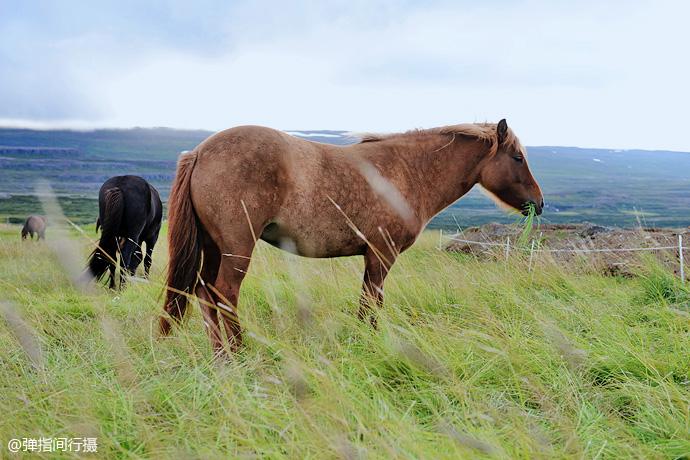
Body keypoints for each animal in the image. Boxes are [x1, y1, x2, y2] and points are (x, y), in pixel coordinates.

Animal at [161, 119, 544, 356]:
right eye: (517, 157)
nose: (539, 204)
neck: (409, 171)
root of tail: (199, 152)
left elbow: (365, 304)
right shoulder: (381, 255)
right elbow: (371, 305)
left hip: (214, 247)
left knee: (204, 293)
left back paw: (221, 356)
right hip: (237, 249)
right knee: (224, 293)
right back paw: (241, 352)